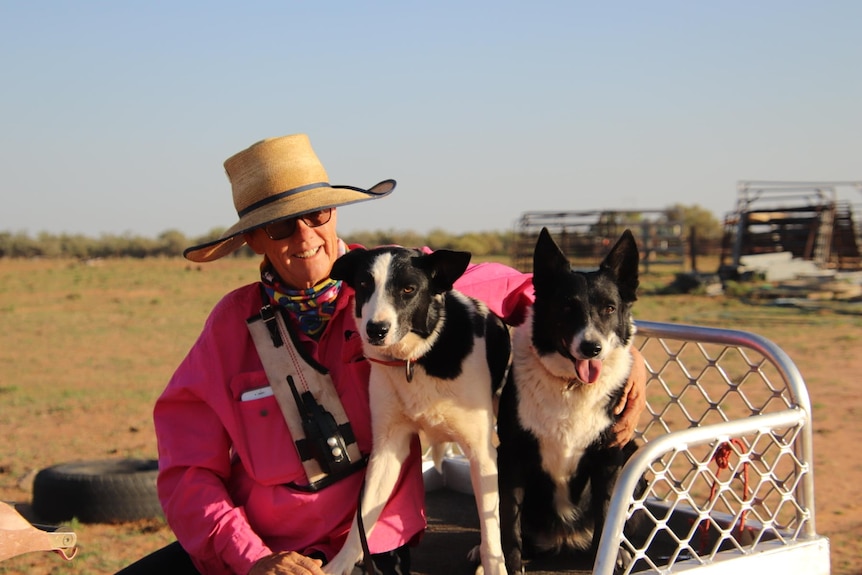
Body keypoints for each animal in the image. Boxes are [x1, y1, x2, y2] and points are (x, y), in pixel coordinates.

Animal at [328, 246, 510, 575]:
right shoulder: (388, 449)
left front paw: (493, 566)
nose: (375, 330)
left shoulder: (481, 452)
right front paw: (339, 564)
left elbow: (491, 532)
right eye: (363, 284)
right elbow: (362, 520)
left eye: (408, 289)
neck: (418, 357)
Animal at [496, 227, 644, 572]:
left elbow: (606, 516)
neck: (572, 386)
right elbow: (509, 523)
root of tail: (565, 538)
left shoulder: (609, 457)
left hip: (632, 449)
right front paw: (508, 563)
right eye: (566, 307)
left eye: (609, 308)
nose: (592, 348)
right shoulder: (510, 456)